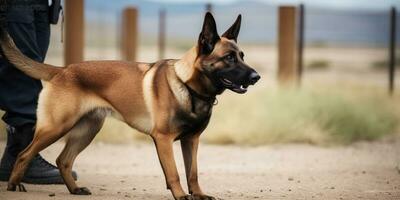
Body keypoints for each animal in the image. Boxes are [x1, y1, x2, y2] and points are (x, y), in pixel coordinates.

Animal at [0, 12, 260, 200]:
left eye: (242, 56)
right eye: (228, 58)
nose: (256, 77)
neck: (187, 85)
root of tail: (62, 70)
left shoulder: (191, 140)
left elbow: (193, 173)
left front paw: (198, 194)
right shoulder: (164, 140)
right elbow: (175, 173)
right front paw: (181, 195)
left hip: (87, 130)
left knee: (63, 160)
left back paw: (74, 189)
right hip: (56, 127)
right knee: (24, 154)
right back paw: (14, 184)